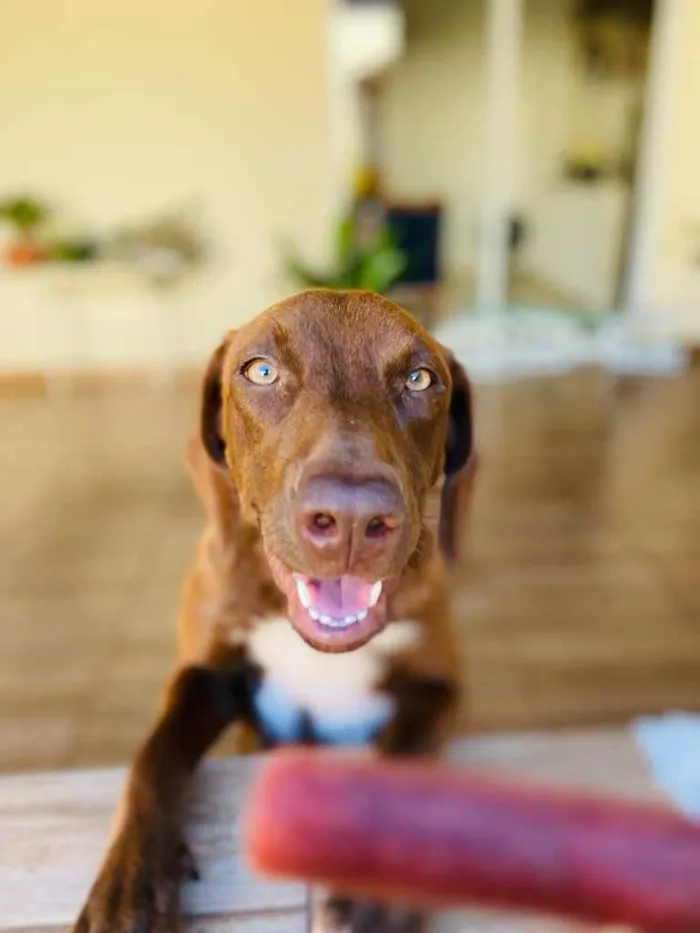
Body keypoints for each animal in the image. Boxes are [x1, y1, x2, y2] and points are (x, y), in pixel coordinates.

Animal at [75, 288, 476, 928]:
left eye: (419, 378)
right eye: (261, 371)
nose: (353, 519)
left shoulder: (438, 684)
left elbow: (405, 760)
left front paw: (380, 894)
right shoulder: (207, 677)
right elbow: (152, 755)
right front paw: (130, 886)